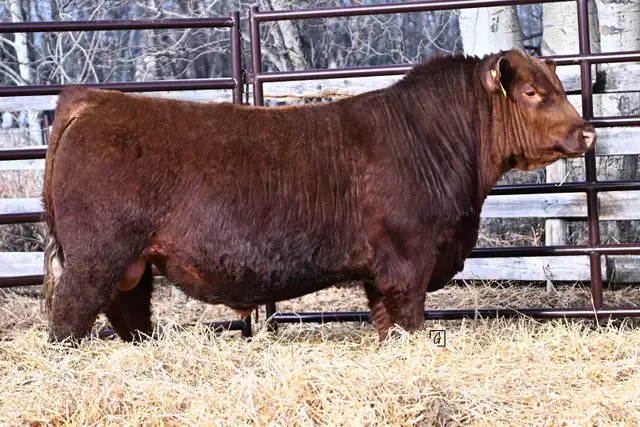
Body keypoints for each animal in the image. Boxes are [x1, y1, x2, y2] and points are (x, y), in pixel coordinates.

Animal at [42, 49, 595, 344]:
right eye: (531, 92)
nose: (587, 132)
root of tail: (91, 100)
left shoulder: (381, 270)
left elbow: (384, 320)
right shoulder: (409, 256)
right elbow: (409, 315)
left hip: (129, 262)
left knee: (127, 310)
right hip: (97, 252)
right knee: (70, 312)